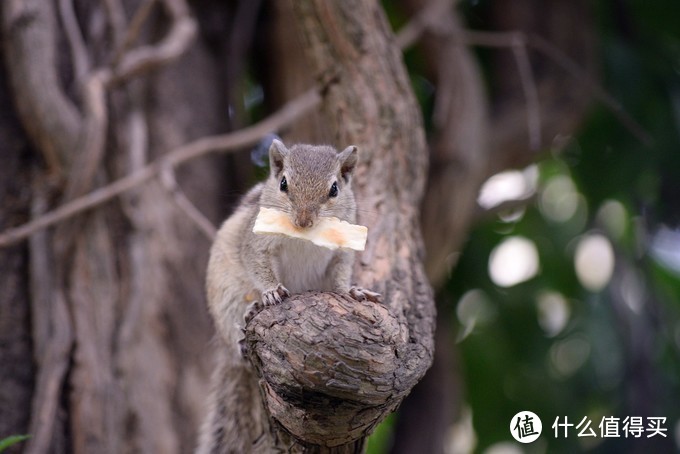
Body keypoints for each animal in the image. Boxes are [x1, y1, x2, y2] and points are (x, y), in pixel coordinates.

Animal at [197, 140, 382, 452]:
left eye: (334, 189)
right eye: (283, 183)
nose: (303, 221)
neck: (305, 238)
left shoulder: (342, 252)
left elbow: (341, 274)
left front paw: (352, 291)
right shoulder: (256, 243)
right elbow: (258, 264)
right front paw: (271, 291)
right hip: (226, 295)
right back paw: (247, 324)